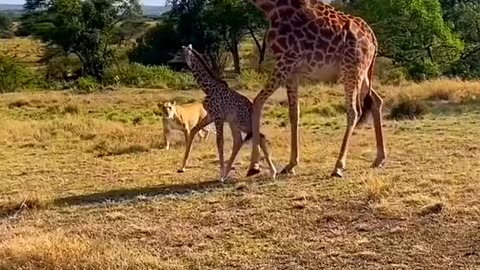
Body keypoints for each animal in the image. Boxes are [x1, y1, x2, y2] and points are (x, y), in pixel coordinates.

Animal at [179, 44, 278, 181]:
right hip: (234, 123)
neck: (208, 88)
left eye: (181, 53)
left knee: (260, 136)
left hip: (242, 123)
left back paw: (272, 172)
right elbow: (194, 131)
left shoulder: (218, 117)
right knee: (239, 141)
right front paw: (182, 166)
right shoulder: (211, 116)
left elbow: (220, 142)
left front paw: (220, 174)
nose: (177, 63)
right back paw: (228, 173)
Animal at [248, 0, 386, 177]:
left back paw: (338, 166)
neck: (270, 7)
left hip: (352, 69)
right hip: (362, 73)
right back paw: (379, 159)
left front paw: (254, 165)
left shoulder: (285, 60)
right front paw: (291, 164)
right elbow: (294, 113)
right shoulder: (292, 70)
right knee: (376, 100)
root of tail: (372, 38)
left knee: (354, 111)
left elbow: (257, 102)